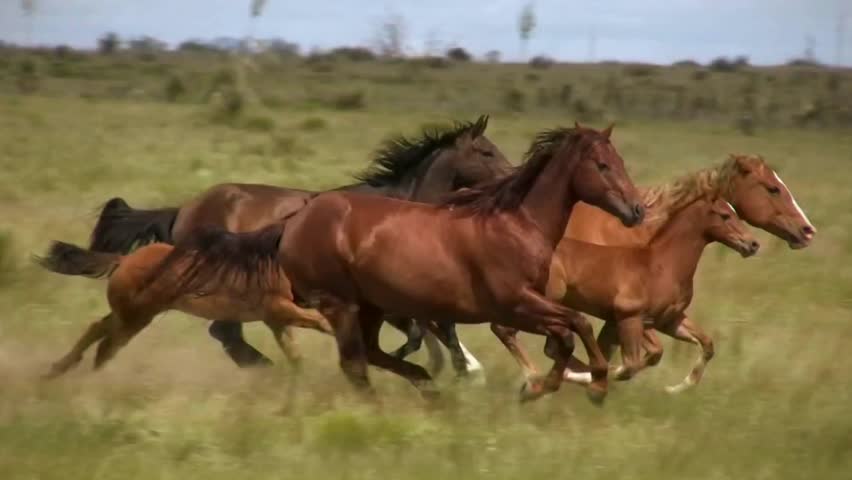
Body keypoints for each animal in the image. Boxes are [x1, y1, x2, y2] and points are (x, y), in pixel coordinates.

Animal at [80, 115, 510, 368]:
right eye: (486, 151)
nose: (514, 175)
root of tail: (183, 209)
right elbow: (427, 333)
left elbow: (431, 331)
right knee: (225, 334)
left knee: (226, 335)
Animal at [195, 124, 640, 402]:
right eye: (602, 165)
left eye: (621, 163)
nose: (636, 211)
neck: (515, 223)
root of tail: (293, 221)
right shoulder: (514, 304)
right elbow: (574, 326)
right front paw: (586, 384)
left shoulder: (518, 307)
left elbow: (568, 332)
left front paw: (550, 384)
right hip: (337, 303)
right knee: (350, 362)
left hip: (367, 307)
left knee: (366, 354)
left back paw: (426, 388)